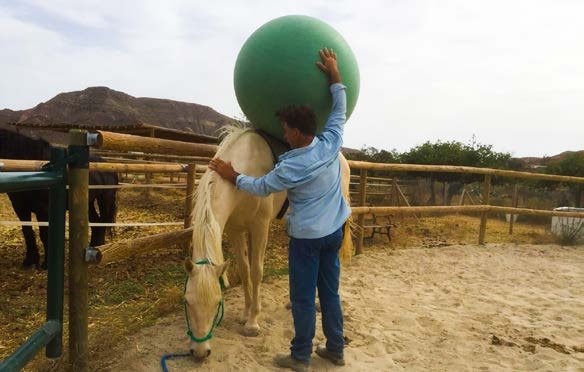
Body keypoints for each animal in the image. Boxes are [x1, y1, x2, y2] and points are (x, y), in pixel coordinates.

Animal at [0, 128, 118, 268]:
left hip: (105, 200)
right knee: (96, 222)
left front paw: (46, 264)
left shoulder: (43, 209)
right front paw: (30, 261)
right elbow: (27, 232)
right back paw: (93, 246)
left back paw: (99, 247)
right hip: (87, 202)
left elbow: (45, 233)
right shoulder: (20, 207)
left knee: (103, 221)